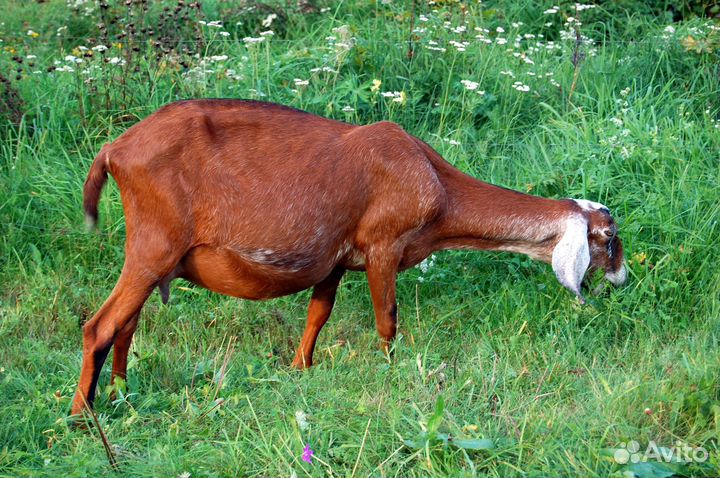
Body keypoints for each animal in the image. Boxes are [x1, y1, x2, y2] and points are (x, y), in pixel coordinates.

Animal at [71, 99, 626, 415]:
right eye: (608, 237)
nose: (622, 279)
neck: (436, 182)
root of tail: (114, 150)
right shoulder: (384, 244)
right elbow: (387, 321)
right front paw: (390, 375)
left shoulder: (335, 261)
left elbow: (318, 314)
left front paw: (300, 371)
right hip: (153, 245)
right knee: (100, 326)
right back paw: (84, 415)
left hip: (155, 256)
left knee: (126, 326)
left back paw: (122, 392)